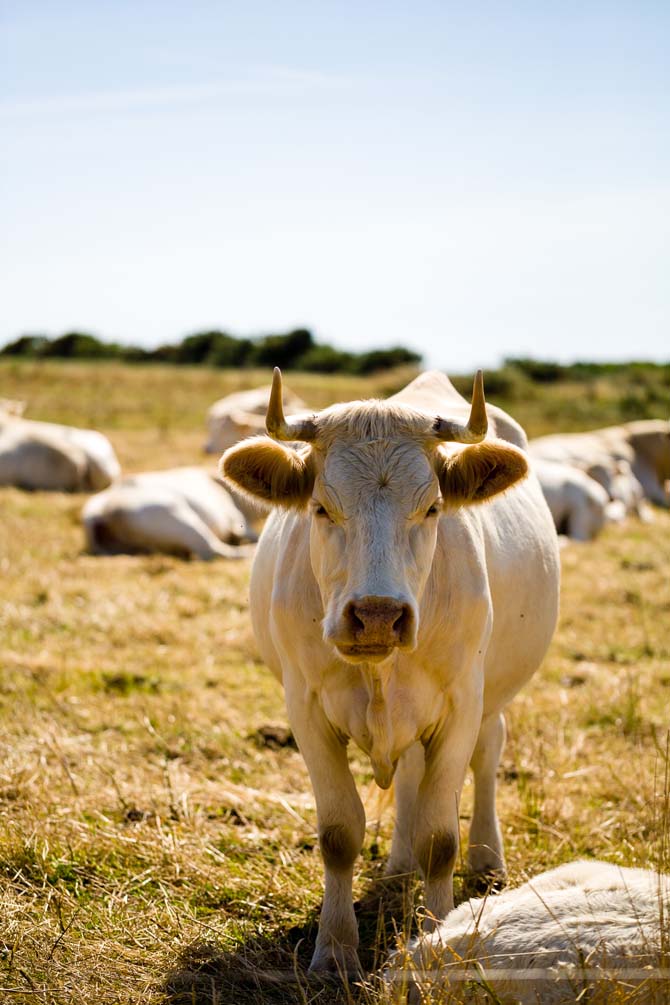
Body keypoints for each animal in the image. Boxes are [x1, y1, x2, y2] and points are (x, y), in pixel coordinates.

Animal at [221, 368, 560, 974]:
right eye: (321, 508)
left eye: (431, 508)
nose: (377, 614)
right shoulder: (305, 708)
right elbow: (339, 833)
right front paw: (335, 949)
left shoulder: (461, 705)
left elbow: (440, 839)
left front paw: (439, 936)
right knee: (408, 776)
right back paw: (399, 865)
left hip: (491, 698)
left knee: (487, 756)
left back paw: (487, 859)